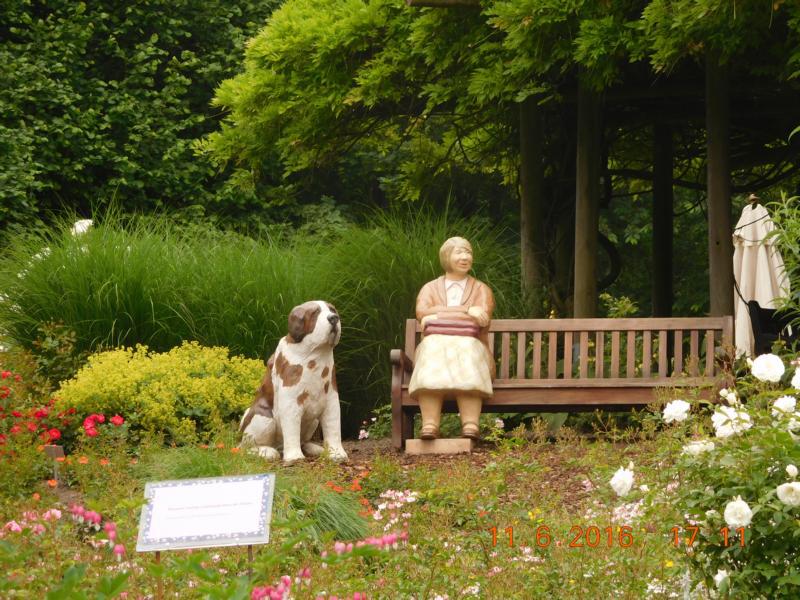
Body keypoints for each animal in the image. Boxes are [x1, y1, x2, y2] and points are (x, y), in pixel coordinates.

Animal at [240, 300, 348, 463]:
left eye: (332, 310)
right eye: (315, 313)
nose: (334, 318)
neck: (315, 355)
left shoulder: (331, 399)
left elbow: (333, 427)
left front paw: (336, 454)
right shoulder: (290, 402)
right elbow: (291, 429)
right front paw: (294, 457)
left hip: (313, 421)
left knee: (304, 440)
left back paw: (314, 448)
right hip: (264, 418)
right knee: (243, 447)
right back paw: (267, 451)